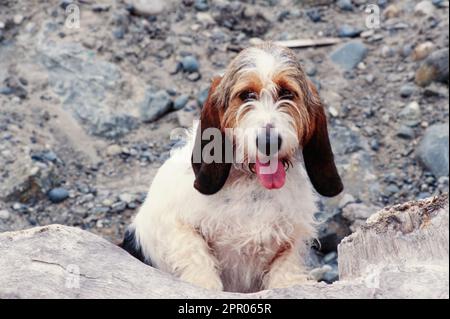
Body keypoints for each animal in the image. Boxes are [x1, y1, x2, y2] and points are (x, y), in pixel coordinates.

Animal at [119, 43, 342, 296]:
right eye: (246, 95)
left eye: (287, 93)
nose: (268, 141)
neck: (251, 184)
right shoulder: (175, 223)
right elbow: (196, 254)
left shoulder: (290, 244)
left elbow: (285, 270)